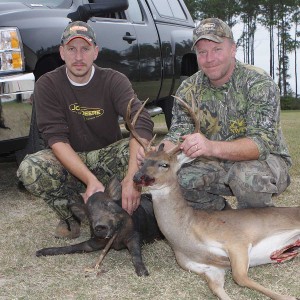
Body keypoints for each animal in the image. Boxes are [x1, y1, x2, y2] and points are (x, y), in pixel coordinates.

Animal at [127, 97, 300, 298]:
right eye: (142, 161)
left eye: (164, 164)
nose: (137, 177)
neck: (187, 233)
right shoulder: (208, 269)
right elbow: (218, 289)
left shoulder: (236, 240)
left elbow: (241, 278)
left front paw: (288, 296)